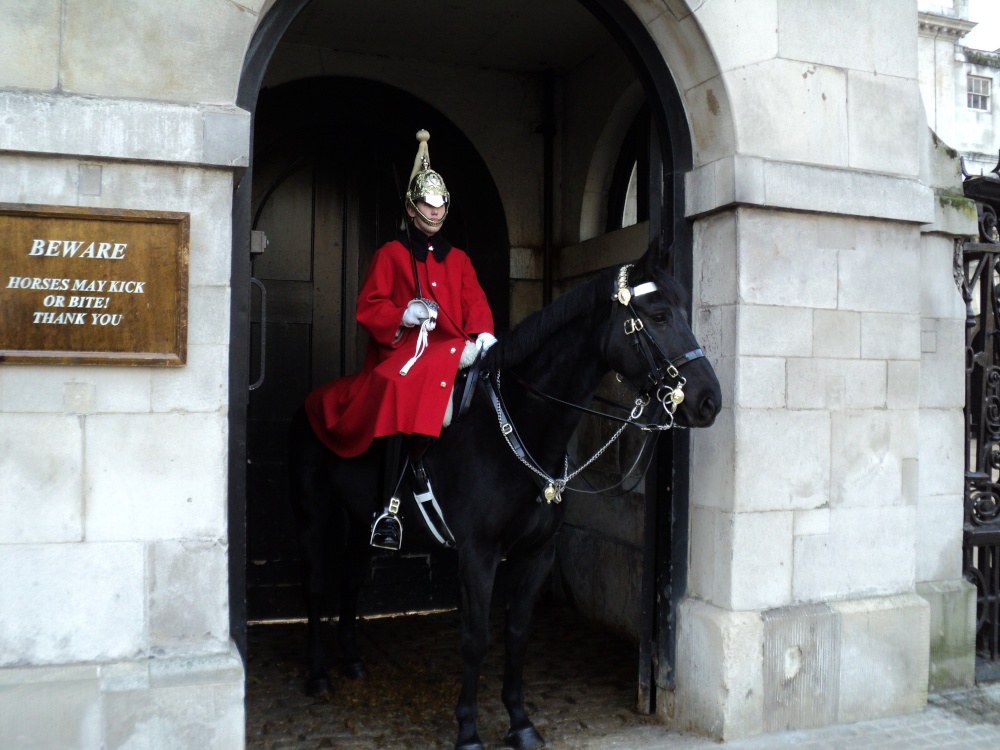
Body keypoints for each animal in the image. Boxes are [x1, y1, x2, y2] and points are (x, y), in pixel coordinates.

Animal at [288, 244, 720, 748]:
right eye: (659, 315)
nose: (710, 401)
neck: (522, 427)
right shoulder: (478, 554)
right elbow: (476, 639)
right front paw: (468, 729)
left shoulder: (537, 552)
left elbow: (517, 633)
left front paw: (520, 721)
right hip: (313, 513)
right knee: (316, 585)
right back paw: (318, 674)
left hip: (360, 521)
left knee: (351, 579)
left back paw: (353, 660)